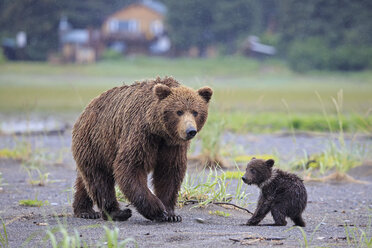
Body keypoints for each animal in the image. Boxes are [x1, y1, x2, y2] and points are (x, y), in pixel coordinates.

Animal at [72, 76, 212, 222]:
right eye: (179, 111)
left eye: (195, 112)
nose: (190, 131)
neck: (160, 132)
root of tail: (87, 109)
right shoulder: (141, 135)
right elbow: (130, 167)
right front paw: (158, 210)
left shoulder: (172, 146)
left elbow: (169, 173)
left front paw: (171, 214)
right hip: (96, 142)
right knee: (100, 180)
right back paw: (117, 212)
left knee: (86, 180)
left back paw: (85, 210)